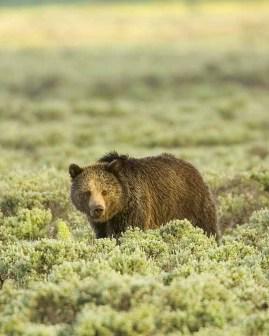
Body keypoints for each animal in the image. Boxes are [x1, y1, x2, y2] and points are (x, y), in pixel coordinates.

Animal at [69, 152, 218, 239]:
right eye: (87, 192)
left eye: (104, 191)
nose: (98, 209)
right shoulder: (102, 224)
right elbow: (103, 235)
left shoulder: (134, 209)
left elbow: (129, 231)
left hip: (191, 204)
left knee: (206, 227)